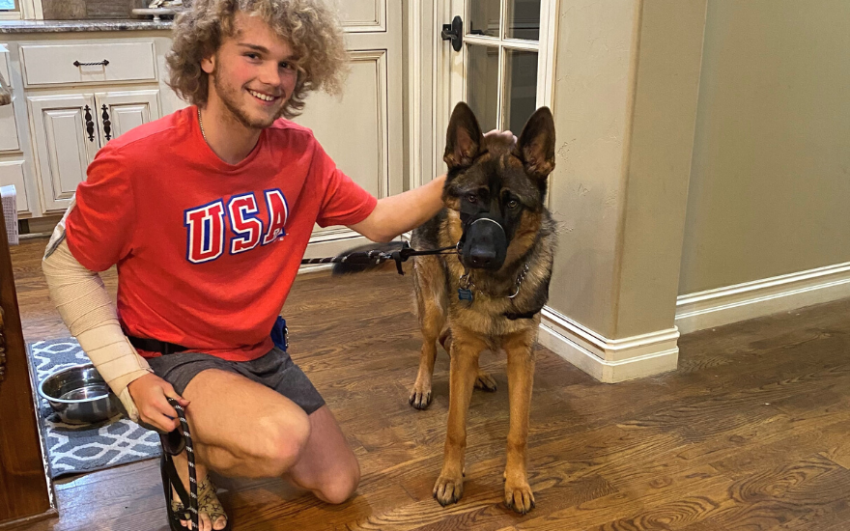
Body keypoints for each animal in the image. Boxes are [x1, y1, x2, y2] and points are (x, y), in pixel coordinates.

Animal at [334, 102, 552, 512]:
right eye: (471, 199)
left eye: (512, 202)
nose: (478, 256)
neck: (494, 285)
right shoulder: (464, 347)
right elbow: (455, 428)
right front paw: (451, 477)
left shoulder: (523, 357)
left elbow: (518, 431)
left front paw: (516, 482)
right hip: (434, 307)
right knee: (431, 345)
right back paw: (423, 385)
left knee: (452, 344)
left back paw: (479, 375)